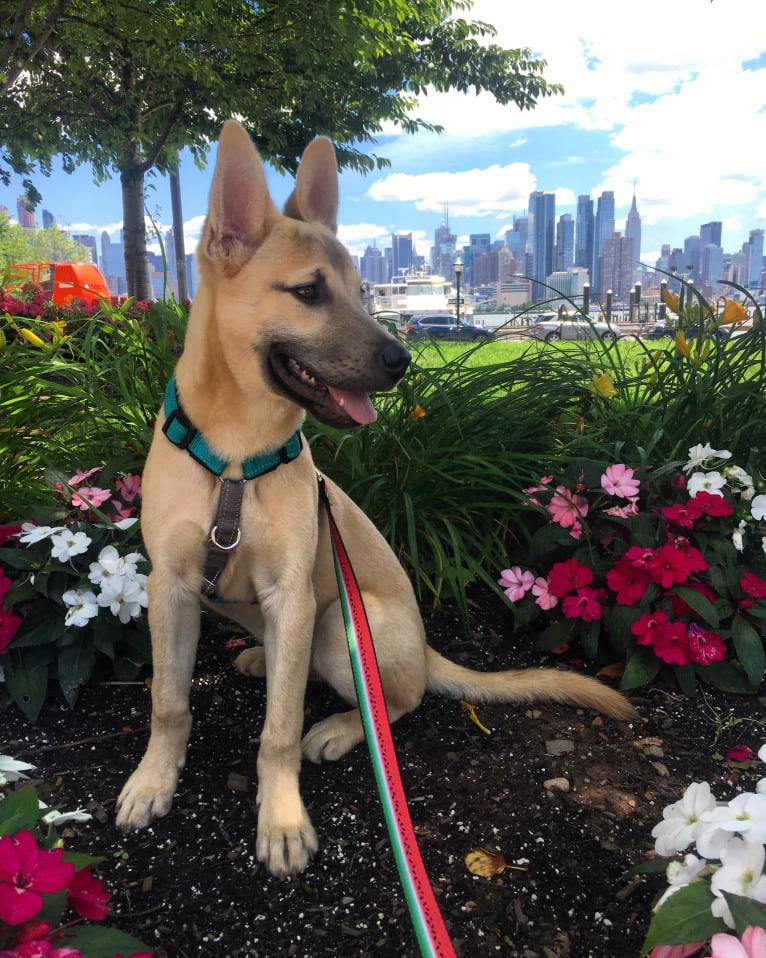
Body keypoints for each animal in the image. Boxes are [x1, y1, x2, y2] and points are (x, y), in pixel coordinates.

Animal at [117, 124, 636, 880]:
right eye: (309, 291)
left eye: (366, 294)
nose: (403, 360)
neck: (235, 459)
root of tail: (424, 646)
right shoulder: (172, 589)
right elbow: (169, 703)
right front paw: (155, 779)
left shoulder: (292, 596)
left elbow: (277, 729)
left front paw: (281, 818)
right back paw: (260, 660)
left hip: (341, 625)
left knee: (398, 701)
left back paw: (337, 724)